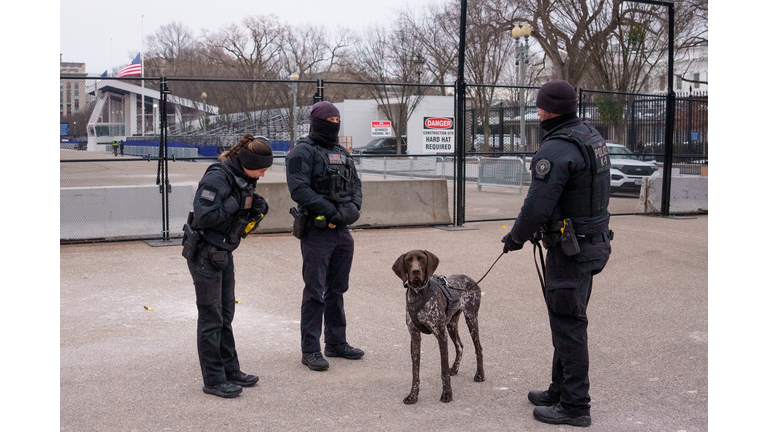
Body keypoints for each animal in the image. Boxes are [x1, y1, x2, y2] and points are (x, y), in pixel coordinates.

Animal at [392, 248, 484, 404]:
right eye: (408, 260)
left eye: (421, 259)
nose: (415, 271)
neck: (418, 293)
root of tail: (470, 279)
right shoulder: (415, 337)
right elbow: (415, 372)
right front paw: (413, 395)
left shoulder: (441, 335)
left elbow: (443, 369)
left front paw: (447, 394)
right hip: (452, 324)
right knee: (460, 346)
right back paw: (455, 368)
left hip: (471, 319)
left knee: (478, 348)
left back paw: (480, 374)